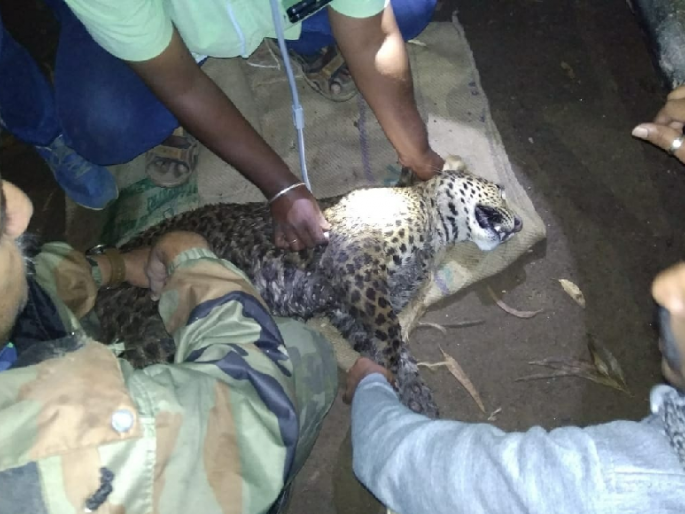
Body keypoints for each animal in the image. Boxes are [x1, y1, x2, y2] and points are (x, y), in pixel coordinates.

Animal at [94, 155, 522, 417]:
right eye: (498, 190)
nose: (518, 224)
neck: (435, 231)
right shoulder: (356, 269)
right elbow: (391, 333)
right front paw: (389, 378)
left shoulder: (345, 305)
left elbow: (389, 344)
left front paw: (412, 391)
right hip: (153, 333)